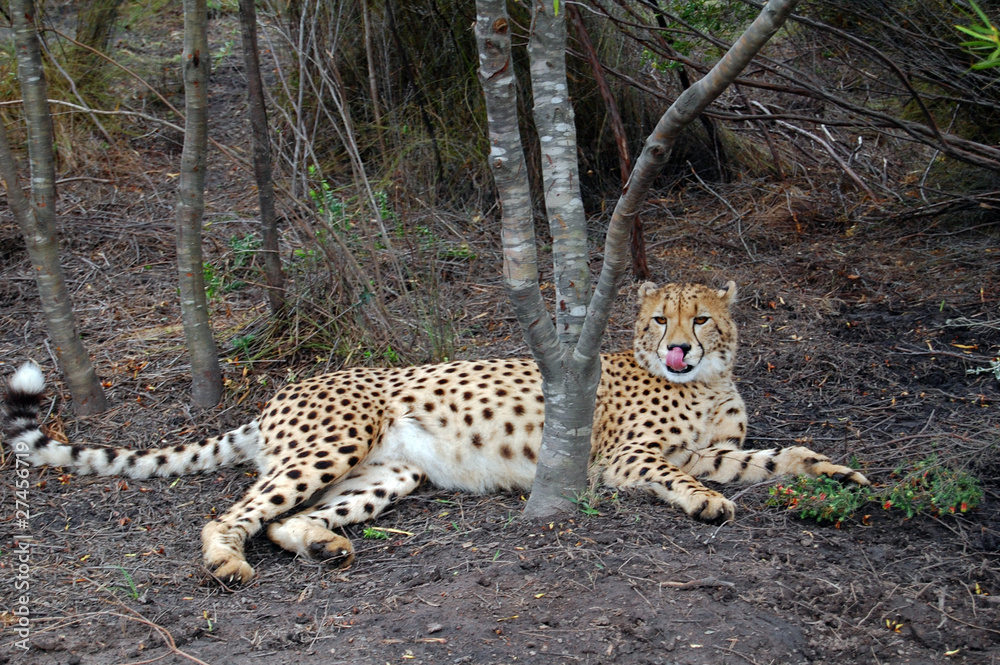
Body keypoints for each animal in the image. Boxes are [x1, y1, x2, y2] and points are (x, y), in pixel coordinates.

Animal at [3, 281, 868, 586]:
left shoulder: (718, 446)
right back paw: (225, 562)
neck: (704, 382)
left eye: (703, 318)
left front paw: (840, 475)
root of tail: (291, 385)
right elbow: (681, 476)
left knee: (284, 519)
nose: (681, 346)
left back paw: (325, 545)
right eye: (660, 319)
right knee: (233, 513)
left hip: (392, 472)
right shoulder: (625, 460)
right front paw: (706, 504)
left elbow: (778, 455)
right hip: (334, 442)